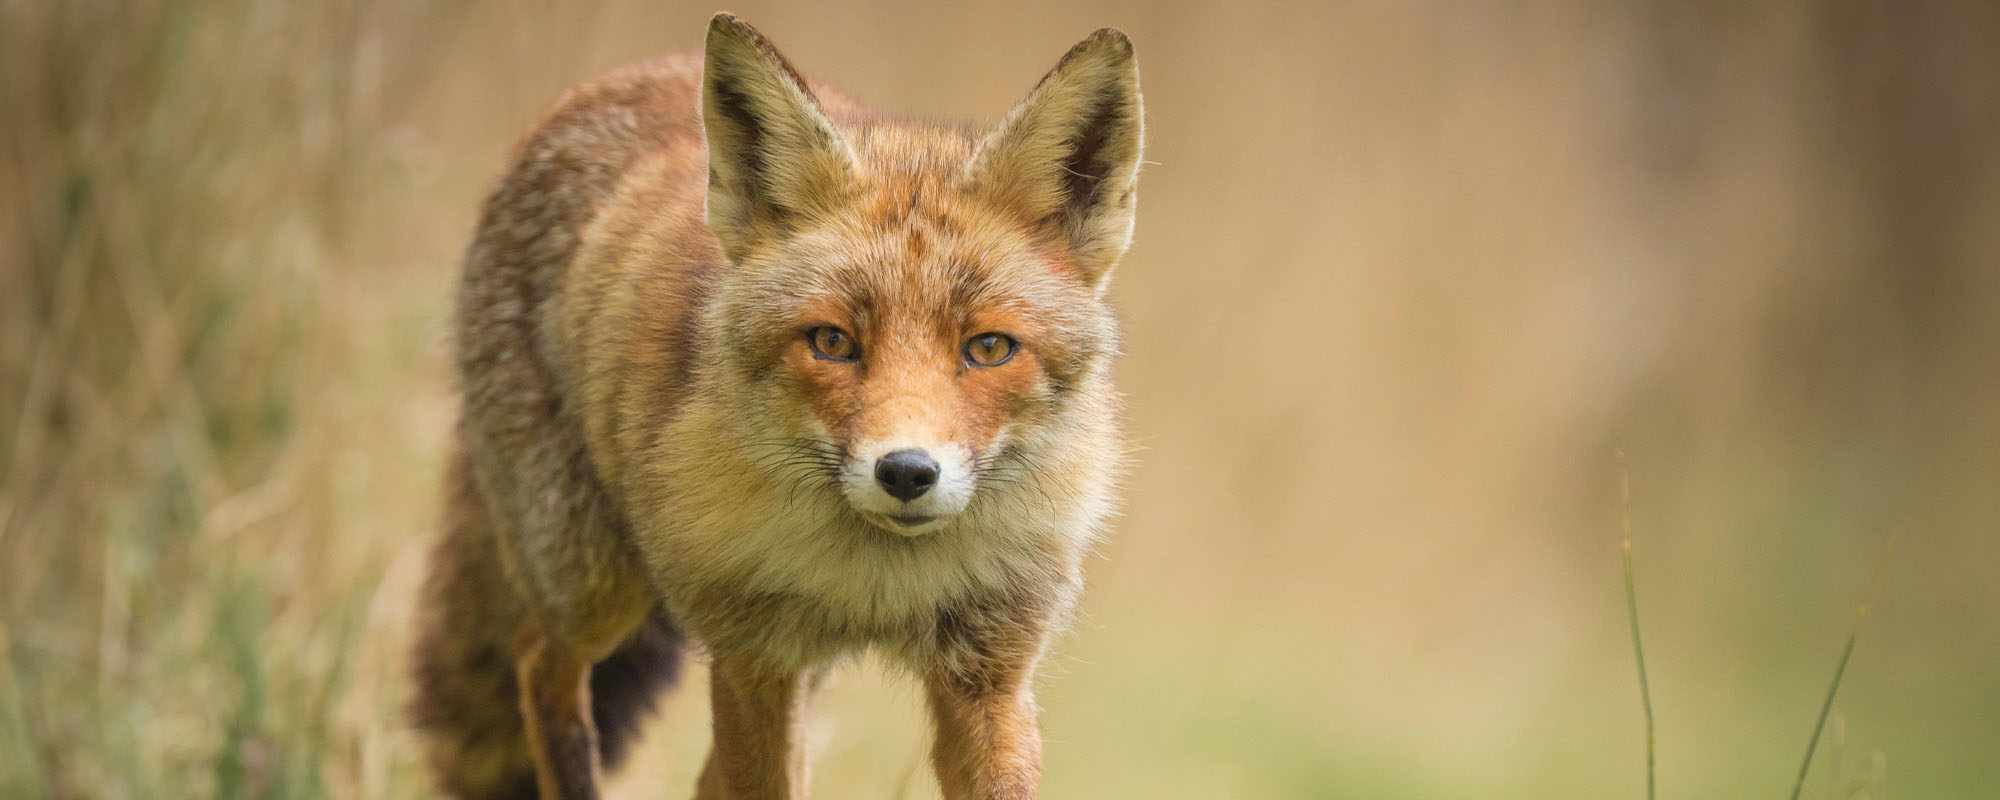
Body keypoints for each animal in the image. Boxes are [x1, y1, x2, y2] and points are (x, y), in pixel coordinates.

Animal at [410, 14, 1144, 800]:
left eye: (988, 348)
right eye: (832, 341)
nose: (907, 473)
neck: (880, 580)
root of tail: (620, 77)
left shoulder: (989, 673)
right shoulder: (753, 659)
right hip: (593, 587)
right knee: (537, 660)